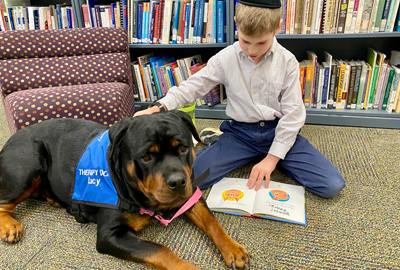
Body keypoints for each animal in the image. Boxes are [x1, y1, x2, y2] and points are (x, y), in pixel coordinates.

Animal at [0, 110, 248, 270]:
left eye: (184, 148)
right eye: (146, 157)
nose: (177, 181)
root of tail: (13, 137)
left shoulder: (190, 197)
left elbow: (212, 222)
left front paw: (232, 248)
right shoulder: (111, 235)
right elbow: (159, 249)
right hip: (30, 160)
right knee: (4, 201)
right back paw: (10, 226)